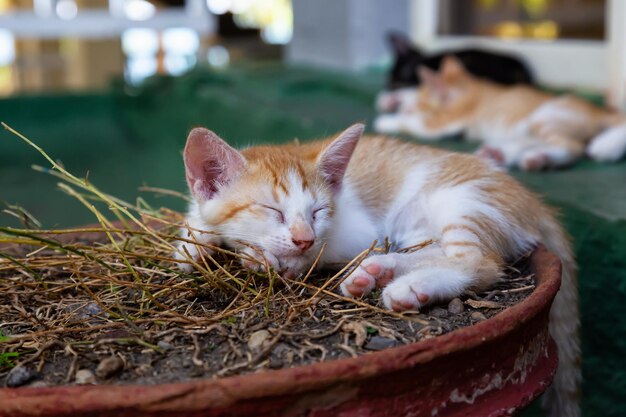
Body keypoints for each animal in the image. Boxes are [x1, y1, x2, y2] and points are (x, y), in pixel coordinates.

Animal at [176, 124, 580, 416]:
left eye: (318, 212)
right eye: (272, 210)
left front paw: (267, 258)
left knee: (478, 262)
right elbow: (198, 221)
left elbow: (311, 254)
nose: (304, 237)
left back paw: (409, 287)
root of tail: (536, 203)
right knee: (432, 250)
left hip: (462, 200)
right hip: (417, 229)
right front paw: (192, 247)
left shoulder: (356, 233)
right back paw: (376, 272)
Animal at [372, 55, 624, 169]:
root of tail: (597, 110)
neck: (467, 87)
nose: (410, 106)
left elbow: (416, 123)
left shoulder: (447, 121)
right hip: (530, 125)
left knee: (572, 147)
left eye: (423, 104)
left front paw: (388, 120)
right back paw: (503, 155)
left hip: (544, 117)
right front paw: (395, 100)